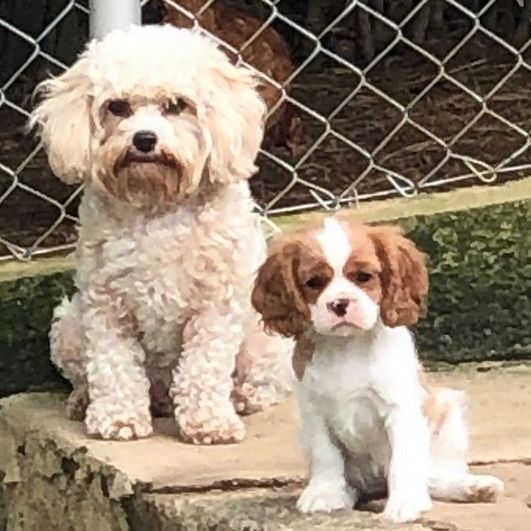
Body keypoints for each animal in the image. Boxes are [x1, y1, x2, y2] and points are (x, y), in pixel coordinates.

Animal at [28, 27, 296, 446]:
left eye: (177, 105)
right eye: (117, 106)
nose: (144, 139)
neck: (157, 205)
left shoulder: (215, 307)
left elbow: (204, 367)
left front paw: (209, 423)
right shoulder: (107, 305)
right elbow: (113, 365)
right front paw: (118, 418)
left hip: (264, 341)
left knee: (263, 381)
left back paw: (241, 398)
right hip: (69, 325)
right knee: (88, 374)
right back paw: (84, 400)